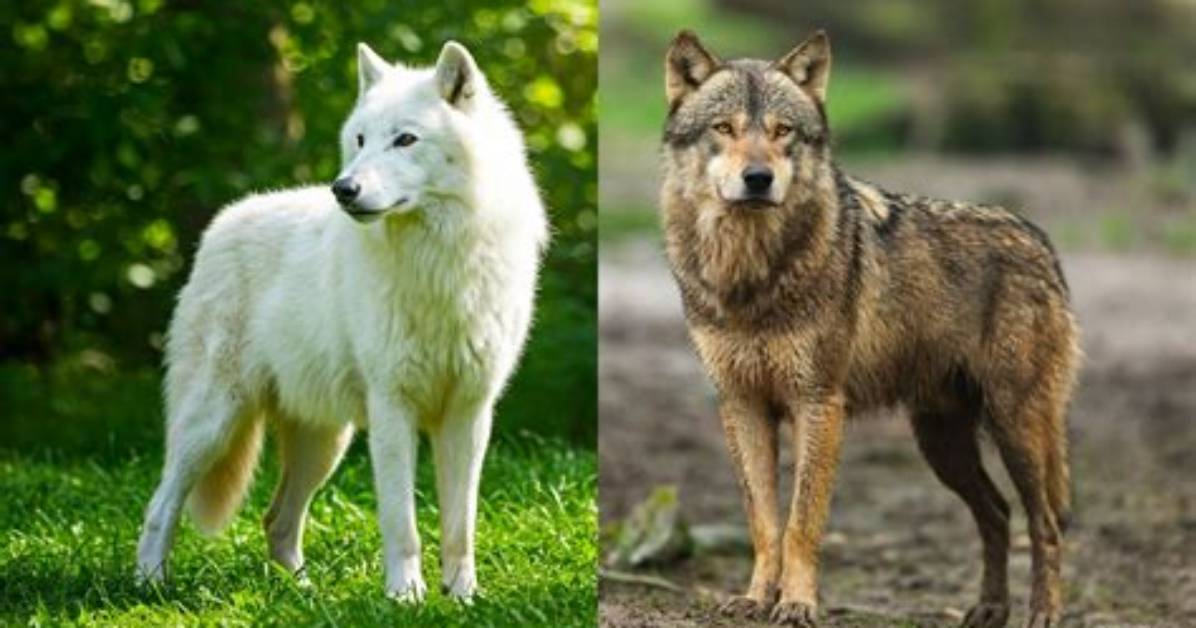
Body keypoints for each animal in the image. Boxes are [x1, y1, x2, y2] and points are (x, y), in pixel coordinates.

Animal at [135, 41, 547, 602]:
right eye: (360, 139)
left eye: (404, 139)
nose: (343, 189)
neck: (438, 261)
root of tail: (223, 222)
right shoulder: (393, 407)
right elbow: (403, 523)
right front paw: (406, 597)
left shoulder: (469, 412)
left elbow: (460, 527)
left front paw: (462, 597)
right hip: (215, 422)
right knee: (161, 503)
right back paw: (149, 584)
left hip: (324, 443)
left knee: (277, 520)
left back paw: (303, 594)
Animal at [659, 30, 1079, 628]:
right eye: (725, 128)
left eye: (782, 131)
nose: (758, 179)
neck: (751, 275)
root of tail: (1041, 240)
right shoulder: (742, 406)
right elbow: (764, 521)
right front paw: (756, 598)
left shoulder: (818, 403)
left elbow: (801, 522)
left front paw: (797, 604)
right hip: (941, 443)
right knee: (997, 513)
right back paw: (987, 609)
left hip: (1013, 425)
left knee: (1044, 523)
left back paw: (1042, 613)